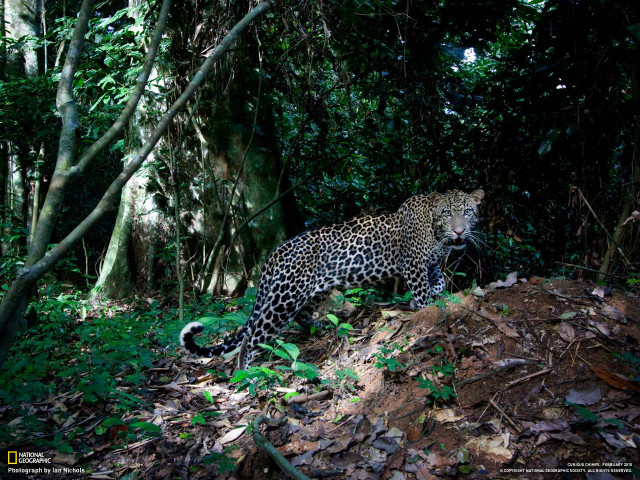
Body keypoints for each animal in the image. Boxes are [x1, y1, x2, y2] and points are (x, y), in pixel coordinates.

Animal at [180, 189, 484, 369]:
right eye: (447, 213)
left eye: (468, 212)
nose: (459, 232)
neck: (435, 230)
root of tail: (275, 253)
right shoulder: (413, 264)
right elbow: (421, 293)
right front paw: (426, 310)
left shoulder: (430, 264)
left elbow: (438, 282)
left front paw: (435, 295)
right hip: (284, 298)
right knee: (253, 335)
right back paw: (245, 373)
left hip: (316, 291)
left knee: (303, 316)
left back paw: (323, 327)